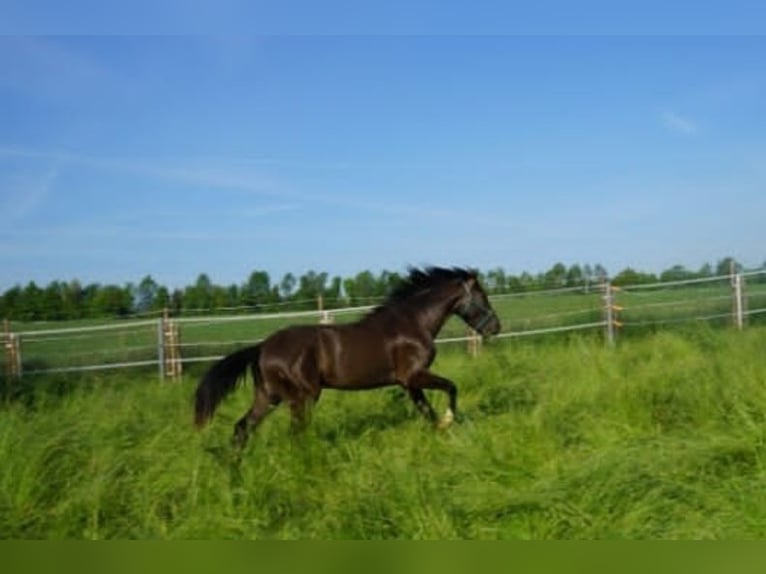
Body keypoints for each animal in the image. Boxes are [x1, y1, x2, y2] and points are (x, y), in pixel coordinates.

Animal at [195, 268, 500, 448]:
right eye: (482, 297)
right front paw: (448, 422)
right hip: (303, 396)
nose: (495, 328)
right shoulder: (414, 375)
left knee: (242, 428)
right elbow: (451, 387)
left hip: (269, 395)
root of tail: (261, 347)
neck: (413, 323)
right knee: (294, 432)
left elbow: (426, 410)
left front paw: (441, 431)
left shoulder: (408, 383)